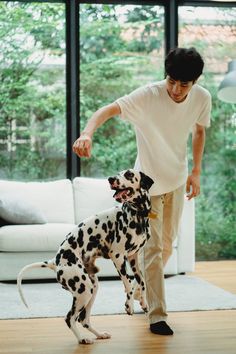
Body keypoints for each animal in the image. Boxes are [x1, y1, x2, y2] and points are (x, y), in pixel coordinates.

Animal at [18, 170, 155, 344]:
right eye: (118, 174)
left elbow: (141, 282)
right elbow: (129, 284)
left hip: (92, 287)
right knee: (70, 318)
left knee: (83, 319)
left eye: (129, 174)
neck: (137, 215)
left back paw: (99, 335)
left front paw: (143, 302)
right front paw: (129, 305)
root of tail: (55, 262)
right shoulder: (117, 256)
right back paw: (83, 339)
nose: (111, 179)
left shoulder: (133, 258)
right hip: (84, 290)